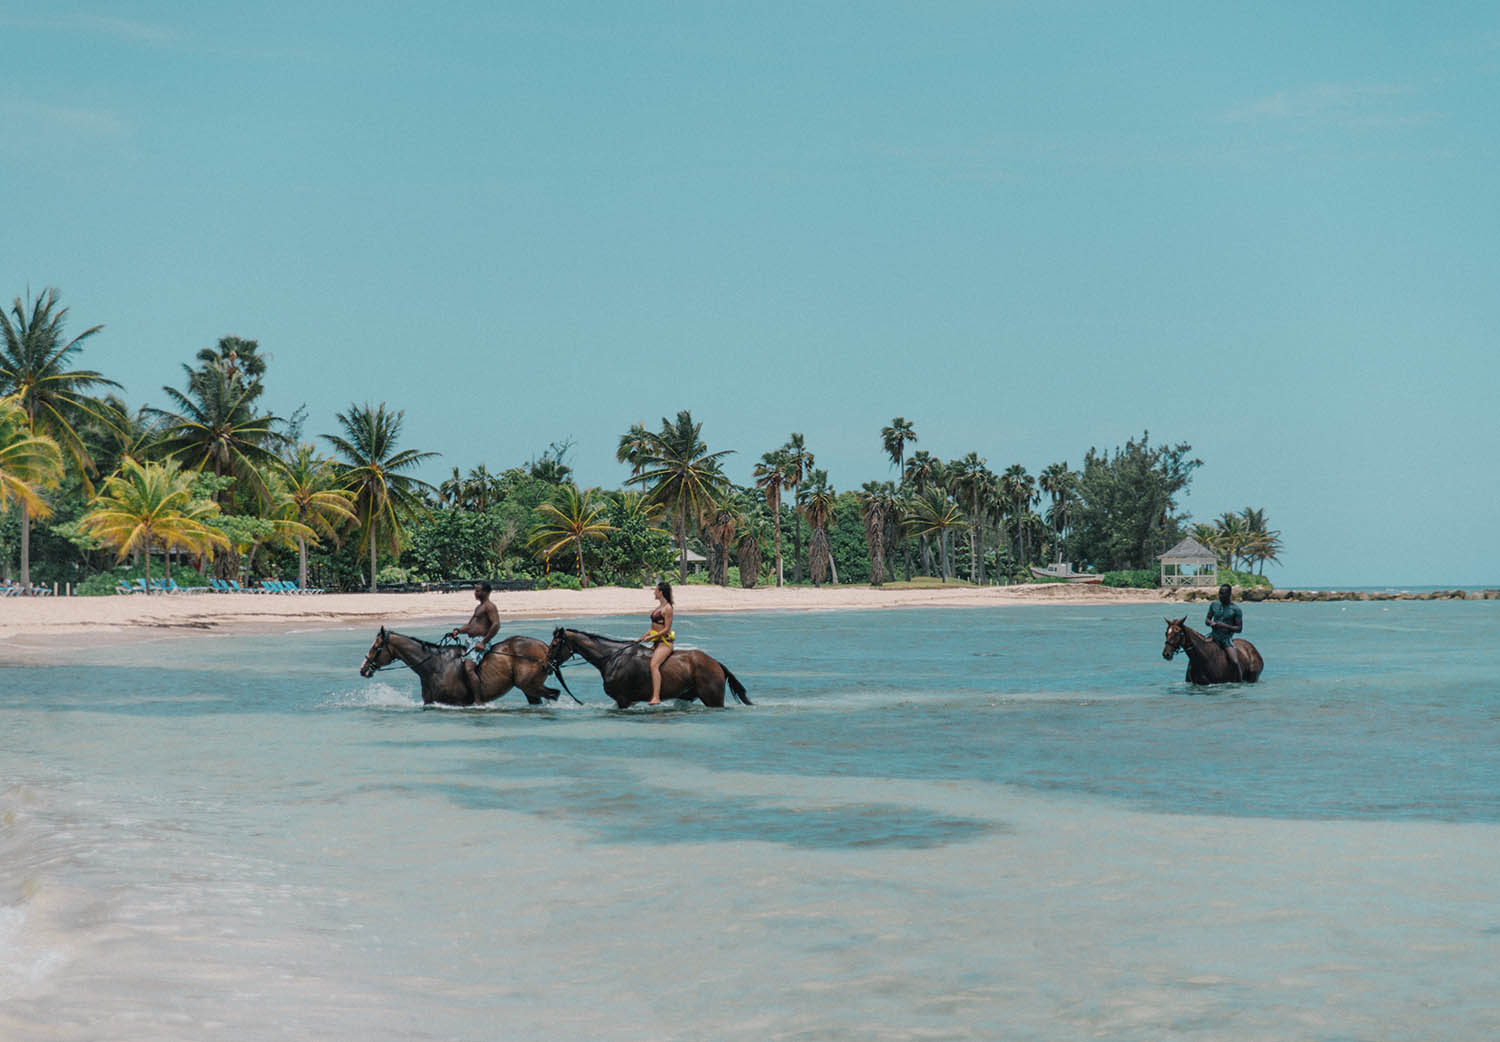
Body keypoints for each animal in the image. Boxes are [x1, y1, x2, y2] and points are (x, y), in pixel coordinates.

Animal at [359, 627, 573, 706]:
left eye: (376, 647)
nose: (363, 669)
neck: (434, 665)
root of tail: (546, 649)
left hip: (531, 685)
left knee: (554, 694)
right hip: (529, 689)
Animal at [545, 627, 751, 708]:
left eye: (554, 644)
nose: (546, 664)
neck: (612, 658)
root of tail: (715, 663)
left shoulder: (623, 700)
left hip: (712, 699)